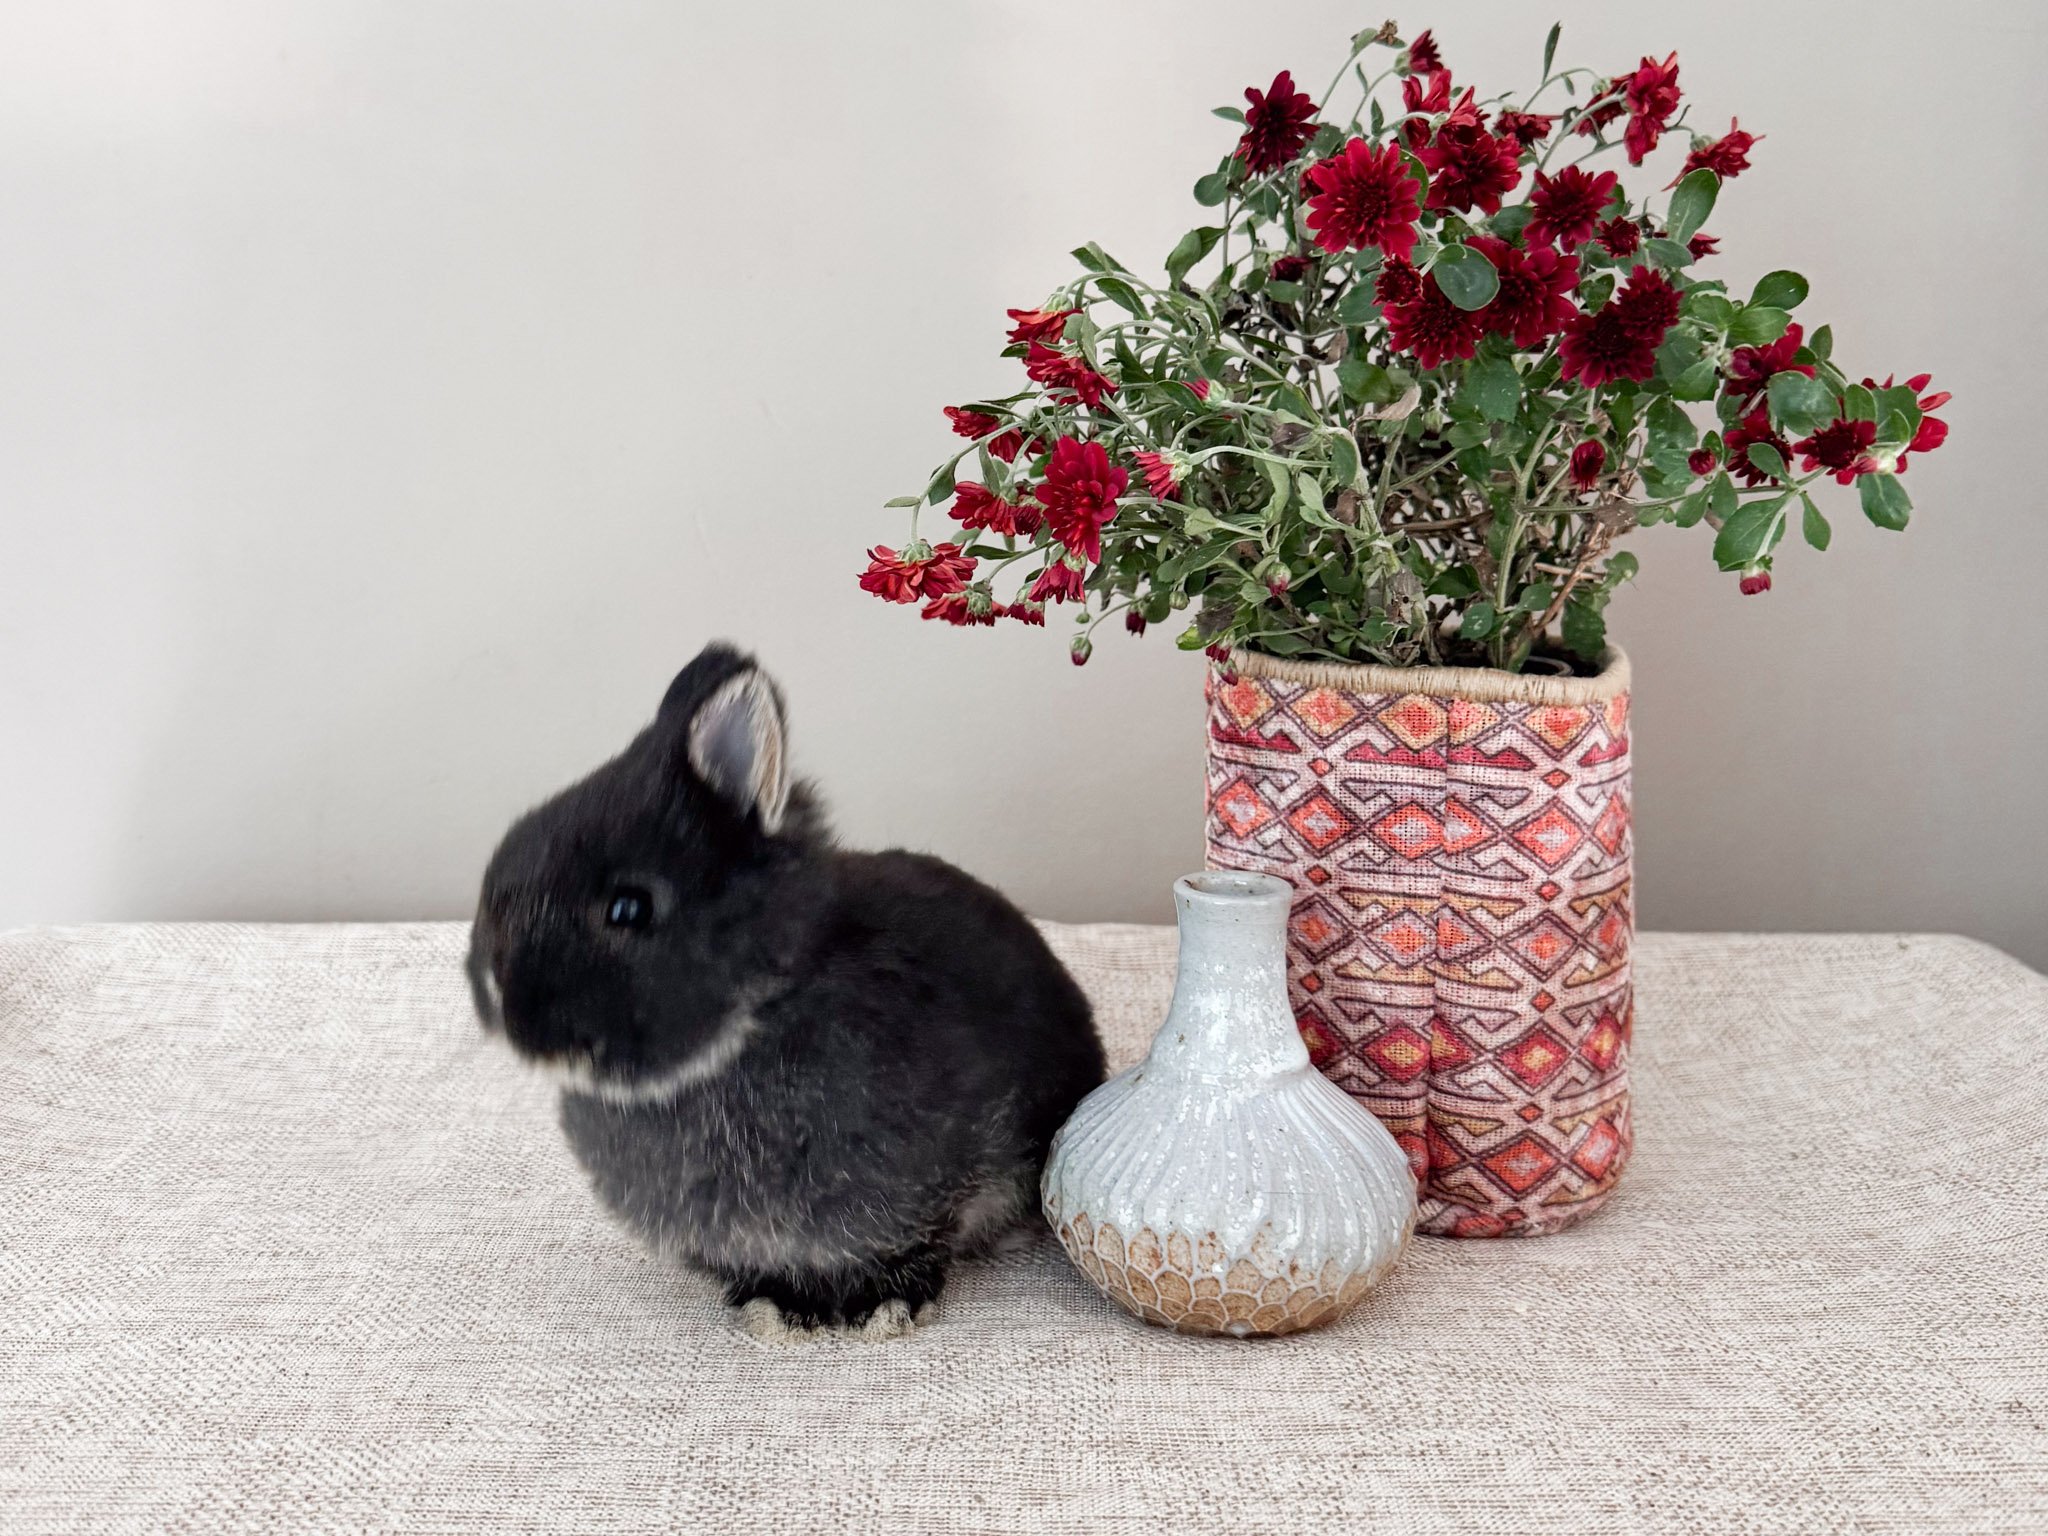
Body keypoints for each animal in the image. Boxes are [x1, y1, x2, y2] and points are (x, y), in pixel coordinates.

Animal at [466, 641, 1106, 1340]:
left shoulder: (940, 1190)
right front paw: (770, 1305)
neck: (763, 1011)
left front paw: (884, 1307)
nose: (490, 987)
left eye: (628, 909)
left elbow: (914, 1247)